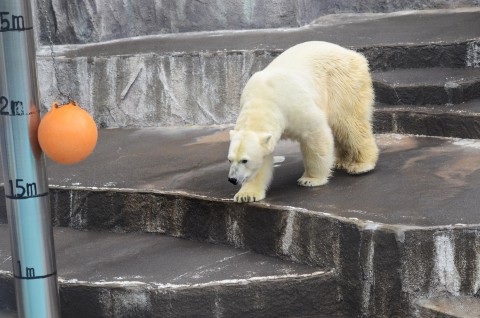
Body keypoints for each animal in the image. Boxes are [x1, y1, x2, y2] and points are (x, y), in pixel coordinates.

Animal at [227, 41, 376, 202]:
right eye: (230, 160)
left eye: (244, 160)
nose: (232, 179)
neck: (263, 99)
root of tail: (355, 55)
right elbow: (262, 160)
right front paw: (246, 195)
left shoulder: (293, 105)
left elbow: (315, 133)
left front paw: (310, 179)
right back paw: (340, 161)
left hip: (342, 84)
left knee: (349, 123)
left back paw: (361, 165)